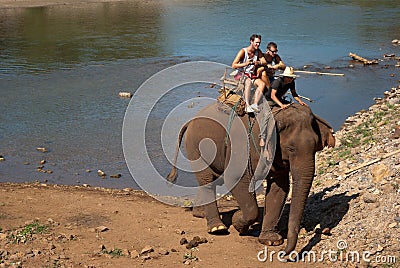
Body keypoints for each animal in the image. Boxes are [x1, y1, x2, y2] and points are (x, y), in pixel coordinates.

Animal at [166, 101, 334, 254]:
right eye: (291, 149)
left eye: (315, 148)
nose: (284, 253)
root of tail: (190, 121)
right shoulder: (241, 146)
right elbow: (235, 179)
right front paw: (237, 221)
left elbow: (279, 187)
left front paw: (271, 241)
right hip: (195, 146)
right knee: (207, 180)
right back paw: (217, 228)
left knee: (210, 180)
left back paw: (200, 214)